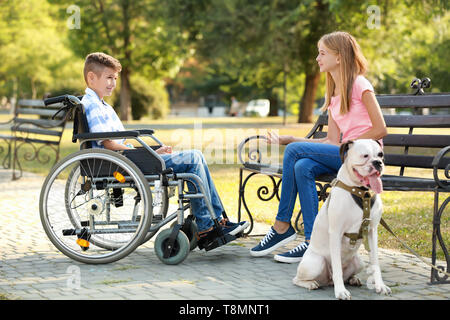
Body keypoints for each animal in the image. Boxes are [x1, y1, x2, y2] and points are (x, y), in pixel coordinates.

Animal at [294, 139, 392, 298]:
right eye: (365, 156)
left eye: (380, 155)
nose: (378, 163)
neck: (362, 194)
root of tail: (328, 281)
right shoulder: (336, 233)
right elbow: (337, 268)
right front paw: (340, 291)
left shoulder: (372, 232)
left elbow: (375, 263)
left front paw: (380, 285)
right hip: (316, 263)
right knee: (297, 279)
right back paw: (310, 283)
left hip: (359, 262)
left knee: (348, 274)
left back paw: (353, 279)